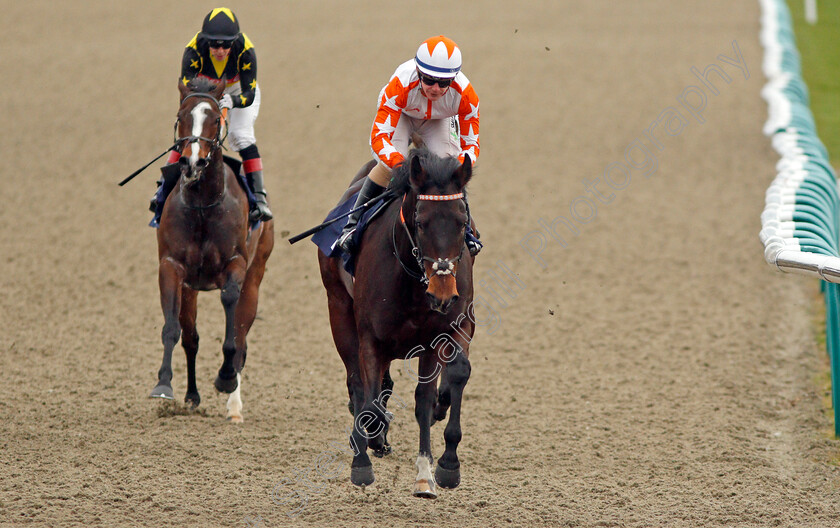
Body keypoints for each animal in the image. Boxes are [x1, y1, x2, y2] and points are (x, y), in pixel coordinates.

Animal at [147, 79, 272, 424]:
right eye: (181, 117)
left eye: (216, 119)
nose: (193, 162)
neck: (203, 204)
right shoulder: (172, 267)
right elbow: (173, 329)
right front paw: (164, 386)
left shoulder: (236, 265)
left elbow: (232, 327)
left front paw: (226, 378)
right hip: (191, 288)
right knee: (191, 338)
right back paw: (191, 396)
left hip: (255, 277)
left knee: (241, 337)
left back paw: (234, 405)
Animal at [318, 148, 472, 500]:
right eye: (420, 222)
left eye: (462, 222)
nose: (443, 292)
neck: (413, 280)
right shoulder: (370, 338)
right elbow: (370, 398)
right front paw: (363, 459)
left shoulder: (445, 331)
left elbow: (435, 391)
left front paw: (439, 468)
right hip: (338, 308)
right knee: (358, 383)